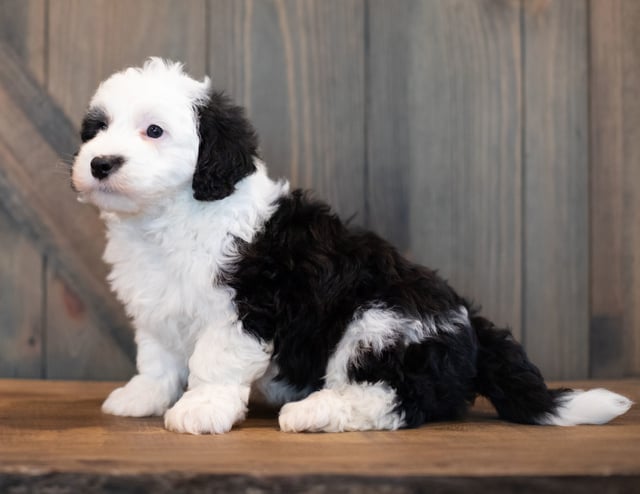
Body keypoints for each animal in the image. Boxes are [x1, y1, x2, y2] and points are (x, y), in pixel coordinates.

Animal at [72, 58, 632, 434]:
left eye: (154, 131)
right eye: (96, 130)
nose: (100, 163)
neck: (175, 215)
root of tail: (468, 320)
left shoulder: (247, 305)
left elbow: (214, 360)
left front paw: (200, 409)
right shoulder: (157, 304)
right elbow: (158, 357)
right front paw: (142, 396)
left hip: (380, 321)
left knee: (390, 398)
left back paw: (313, 410)